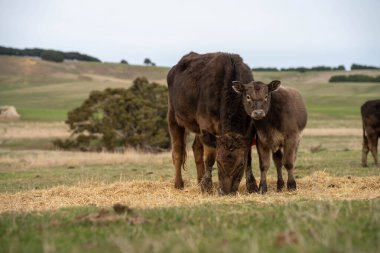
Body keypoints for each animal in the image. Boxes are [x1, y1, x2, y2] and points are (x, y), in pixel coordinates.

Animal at [167, 51, 258, 194]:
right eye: (219, 163)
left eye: (241, 165)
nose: (226, 191)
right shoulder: (206, 124)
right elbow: (209, 157)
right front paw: (207, 186)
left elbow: (249, 156)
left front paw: (252, 186)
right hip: (173, 117)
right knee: (177, 152)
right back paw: (179, 184)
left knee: (196, 149)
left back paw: (199, 180)